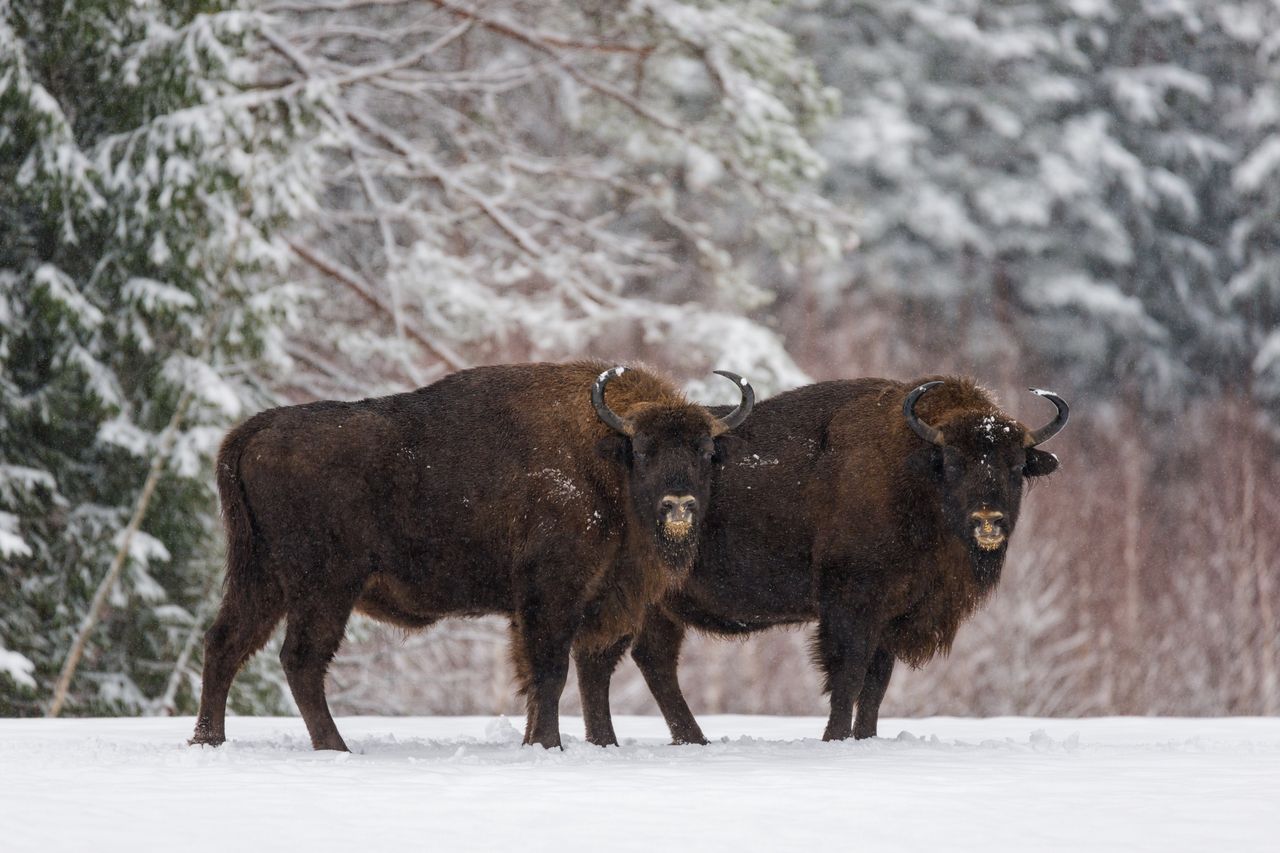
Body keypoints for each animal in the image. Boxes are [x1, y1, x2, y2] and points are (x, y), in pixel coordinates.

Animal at [186, 361, 747, 747]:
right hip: (323, 587)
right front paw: (547, 745)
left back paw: (208, 740)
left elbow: (555, 675)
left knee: (225, 645)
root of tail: (253, 432)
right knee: (300, 659)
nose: (679, 505)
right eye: (644, 450)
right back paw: (335, 748)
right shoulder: (551, 594)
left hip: (262, 580)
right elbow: (550, 672)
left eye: (704, 451)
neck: (605, 455)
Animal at [576, 376, 1064, 742]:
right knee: (602, 659)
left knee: (650, 661)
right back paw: (614, 742)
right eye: (953, 461)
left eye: (1016, 465)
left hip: (659, 607)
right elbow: (847, 676)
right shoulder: (850, 605)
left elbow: (876, 684)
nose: (988, 520)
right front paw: (835, 738)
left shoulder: (890, 615)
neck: (911, 472)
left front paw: (865, 738)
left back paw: (691, 740)